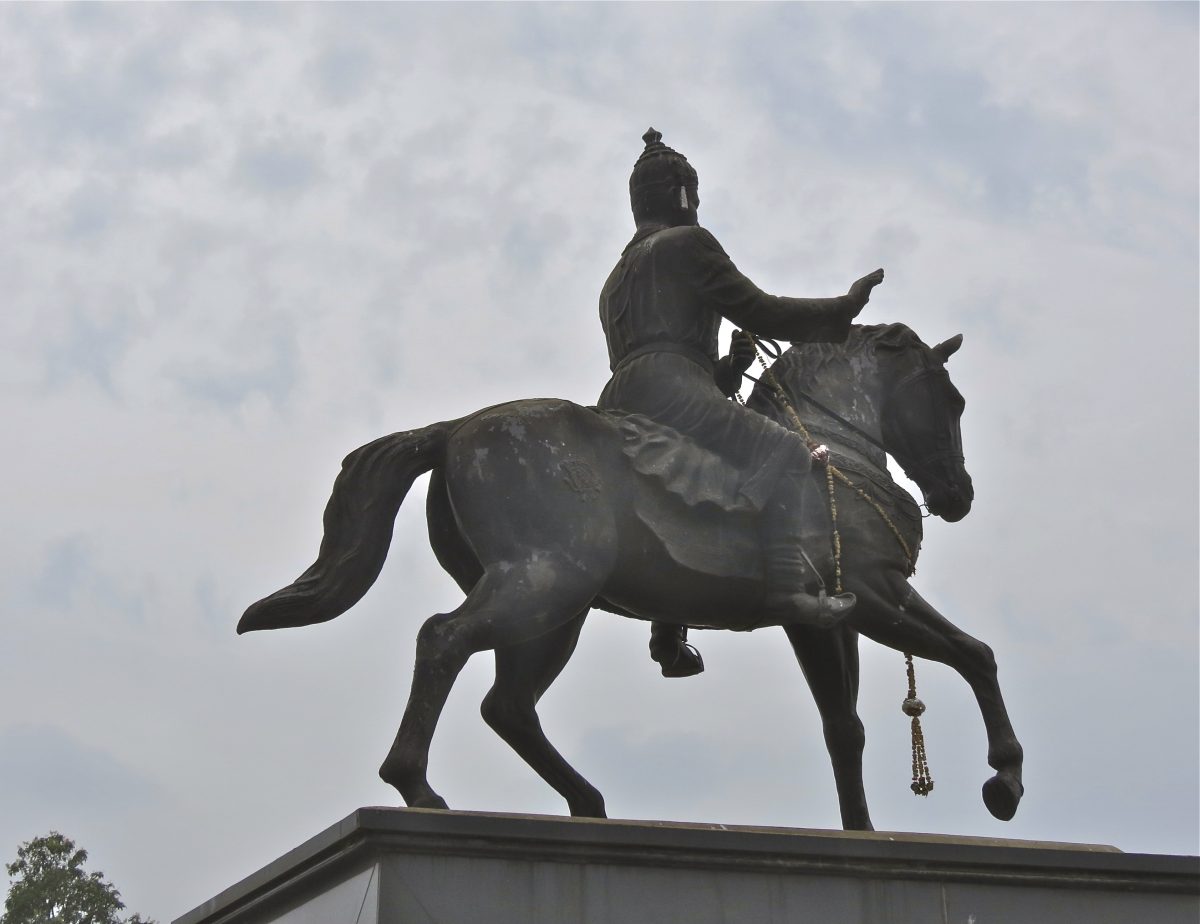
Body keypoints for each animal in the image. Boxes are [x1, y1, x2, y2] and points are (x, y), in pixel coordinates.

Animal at [241, 321, 1022, 825]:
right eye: (951, 400)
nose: (958, 495)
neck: (833, 451)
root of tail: (458, 429)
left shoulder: (826, 618)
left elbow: (844, 726)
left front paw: (860, 831)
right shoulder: (875, 595)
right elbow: (974, 655)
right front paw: (1005, 781)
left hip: (553, 610)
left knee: (507, 704)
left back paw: (587, 803)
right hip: (545, 582)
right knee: (444, 640)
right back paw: (418, 789)